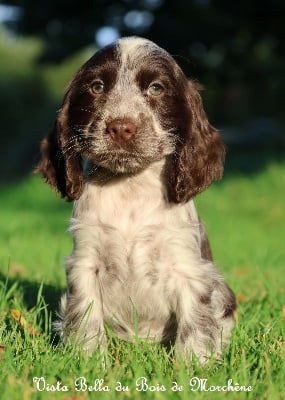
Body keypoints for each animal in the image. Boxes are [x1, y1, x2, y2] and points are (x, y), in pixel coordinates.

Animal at [37, 37, 235, 362]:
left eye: (156, 88)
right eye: (96, 87)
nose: (121, 127)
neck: (129, 186)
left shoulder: (188, 267)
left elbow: (195, 324)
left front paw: (192, 366)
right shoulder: (85, 261)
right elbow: (85, 317)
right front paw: (89, 361)